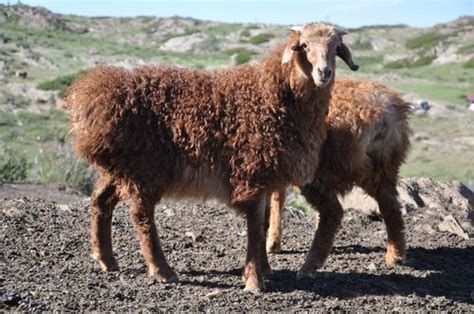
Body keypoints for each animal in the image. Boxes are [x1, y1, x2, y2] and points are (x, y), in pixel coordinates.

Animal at [64, 23, 360, 294]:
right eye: (305, 46)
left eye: (336, 48)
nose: (324, 72)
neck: (275, 95)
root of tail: (98, 97)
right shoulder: (251, 170)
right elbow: (255, 225)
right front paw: (254, 280)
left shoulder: (264, 176)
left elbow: (264, 223)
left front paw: (263, 269)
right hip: (145, 168)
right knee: (141, 215)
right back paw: (162, 270)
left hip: (122, 169)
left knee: (101, 200)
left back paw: (106, 260)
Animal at [266, 79, 412, 278]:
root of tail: (382, 115)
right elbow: (277, 197)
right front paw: (273, 243)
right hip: (382, 169)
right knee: (391, 207)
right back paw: (395, 255)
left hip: (320, 169)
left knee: (332, 211)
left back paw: (309, 266)